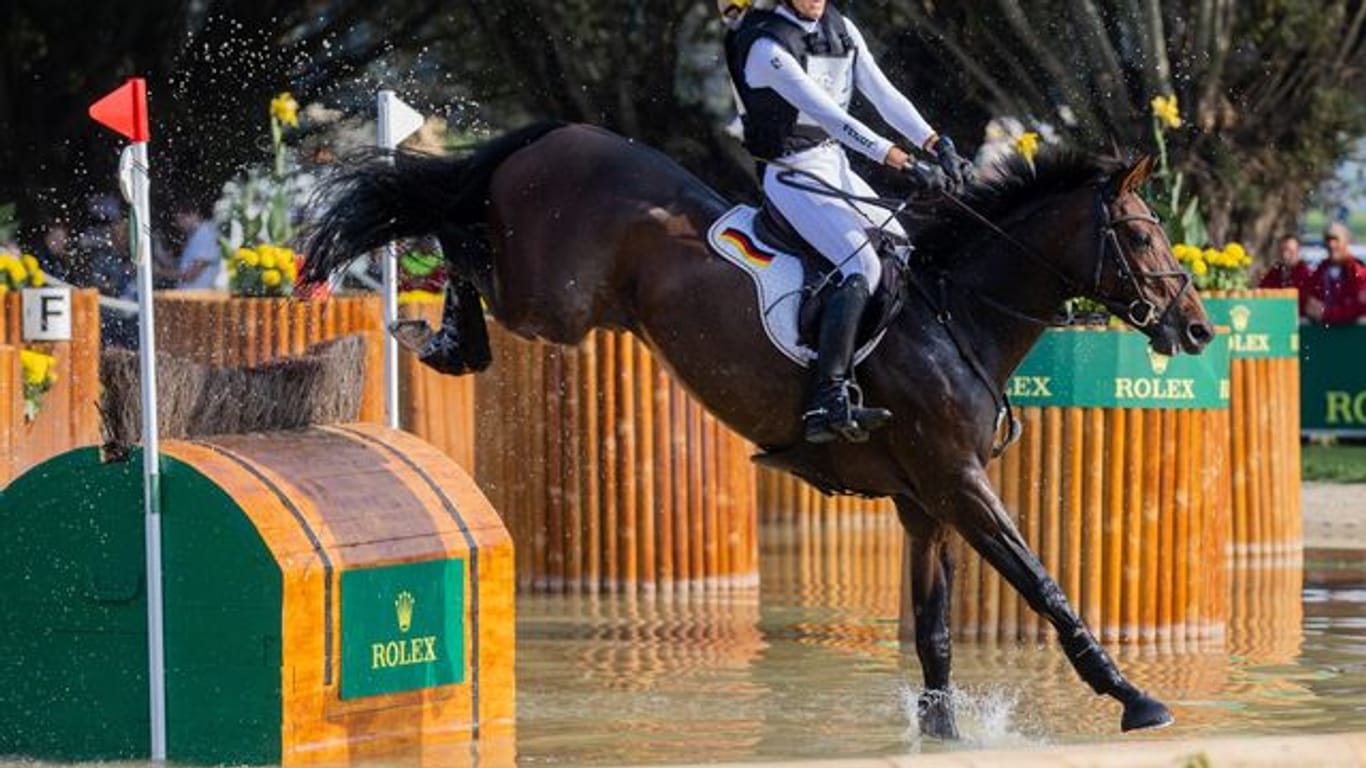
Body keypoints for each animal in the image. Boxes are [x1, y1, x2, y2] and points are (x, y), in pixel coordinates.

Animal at [304, 122, 1213, 737]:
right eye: (1140, 235)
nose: (1198, 329)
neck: (956, 317)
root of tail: (564, 133)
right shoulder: (959, 482)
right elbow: (1043, 585)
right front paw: (1134, 697)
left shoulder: (925, 503)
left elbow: (936, 635)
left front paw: (942, 734)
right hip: (551, 301)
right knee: (458, 242)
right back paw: (439, 334)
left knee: (456, 228)